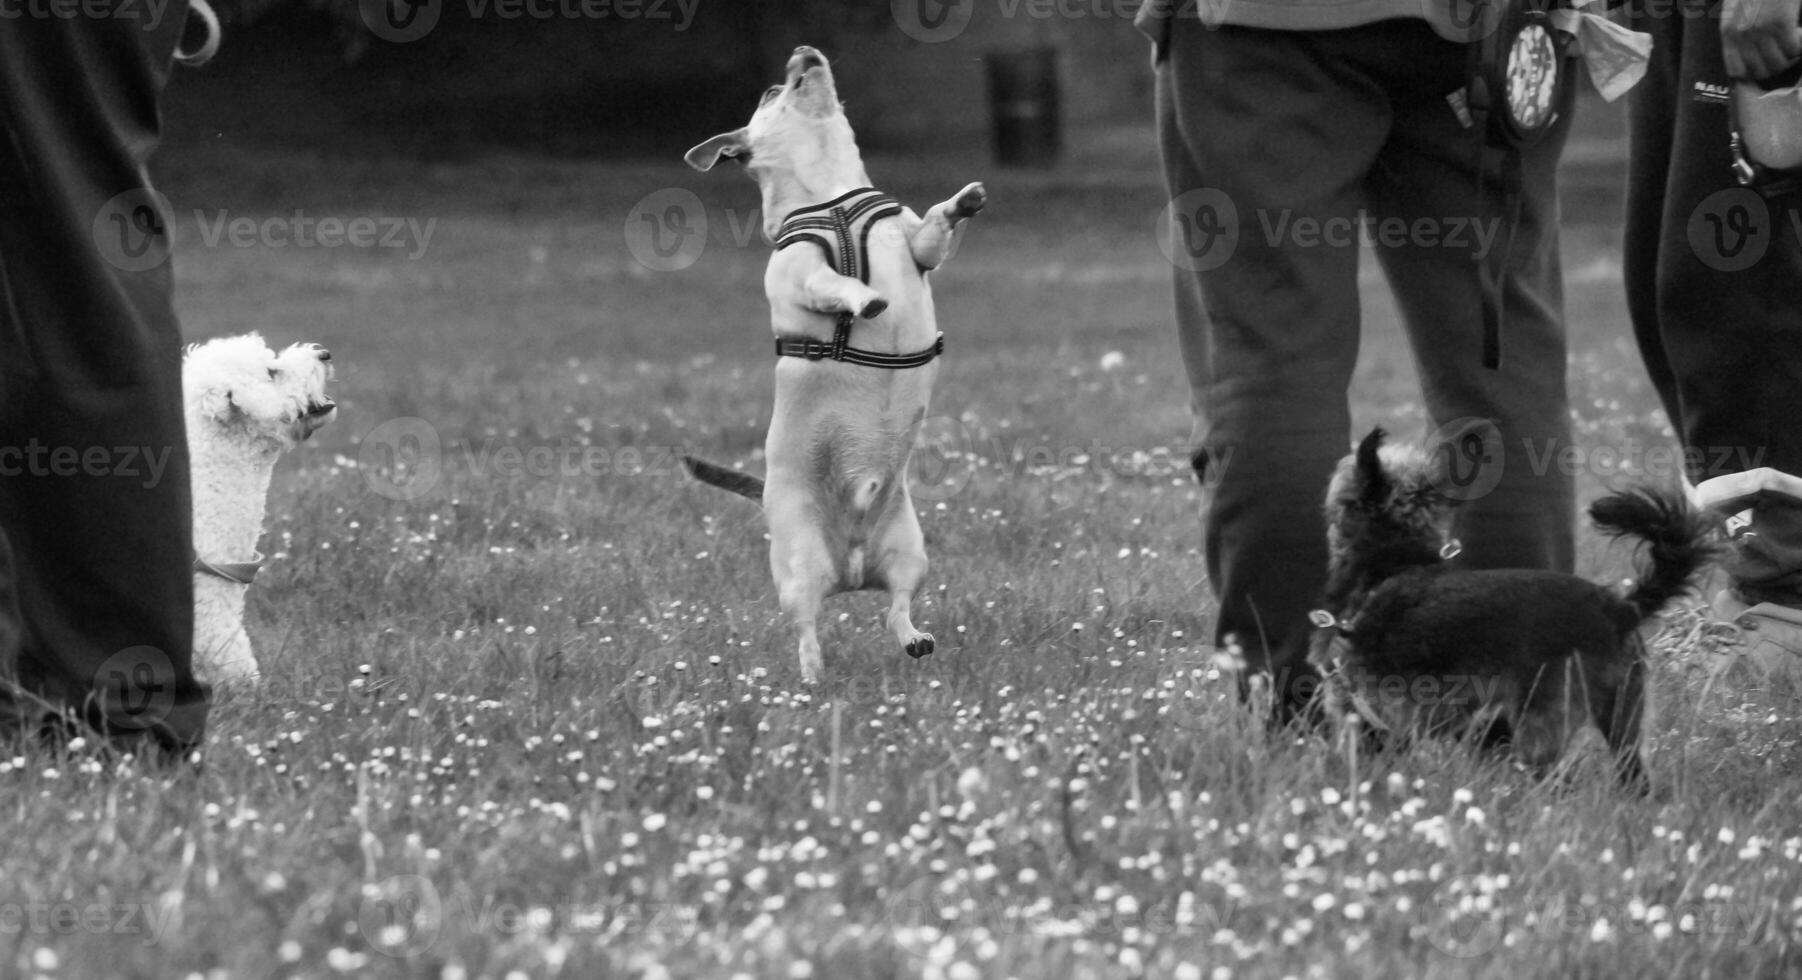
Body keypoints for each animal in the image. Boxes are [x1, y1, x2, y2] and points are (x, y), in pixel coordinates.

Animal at [677, 45, 987, 684]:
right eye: (772, 91)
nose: (802, 50)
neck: (833, 196)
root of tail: (851, 568)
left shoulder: (919, 245)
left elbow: (935, 229)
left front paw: (963, 202)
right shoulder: (800, 275)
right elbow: (829, 283)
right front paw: (864, 299)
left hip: (909, 550)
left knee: (896, 607)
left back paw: (914, 637)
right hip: (798, 562)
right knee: (805, 626)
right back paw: (812, 676)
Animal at [1311, 426, 1715, 789]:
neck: (1391, 559)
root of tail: (1618, 608)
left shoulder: (1367, 714)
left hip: (1542, 716)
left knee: (1557, 779)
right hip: (1624, 712)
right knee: (1634, 777)